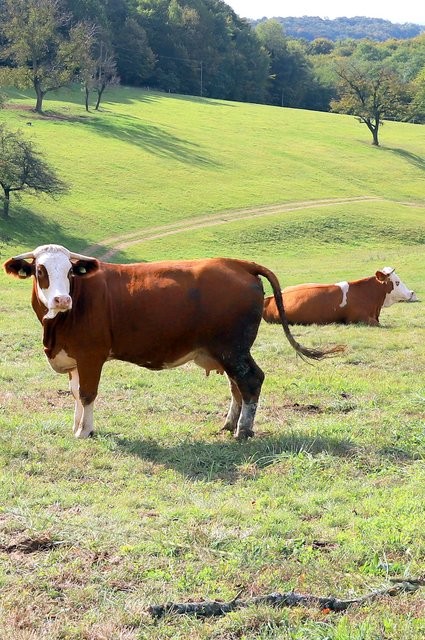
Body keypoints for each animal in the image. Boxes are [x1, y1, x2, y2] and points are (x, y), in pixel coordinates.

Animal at [3, 245, 342, 440]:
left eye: (71, 271)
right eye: (40, 270)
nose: (62, 299)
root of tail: (238, 263)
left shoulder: (91, 356)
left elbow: (86, 395)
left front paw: (84, 431)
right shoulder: (74, 357)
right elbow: (75, 394)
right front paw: (76, 426)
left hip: (233, 349)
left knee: (250, 381)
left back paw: (243, 430)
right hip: (228, 352)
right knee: (237, 385)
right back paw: (229, 424)